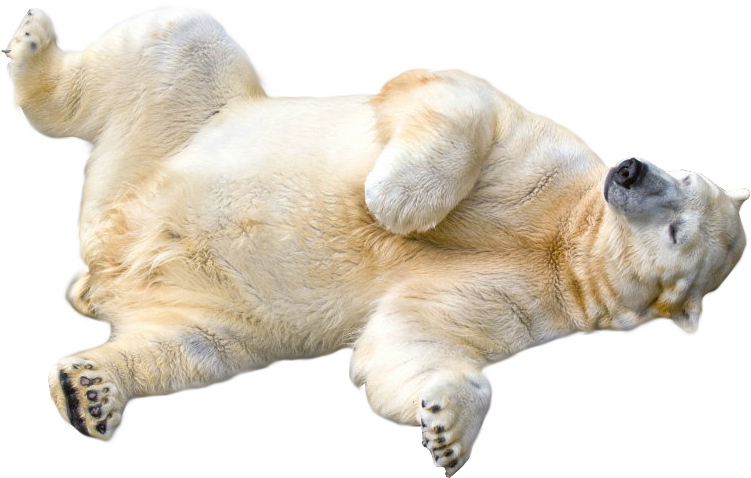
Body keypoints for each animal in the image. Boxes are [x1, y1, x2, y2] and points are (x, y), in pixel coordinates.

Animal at [5, 6, 748, 476]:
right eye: (684, 175)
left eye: (679, 226)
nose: (630, 170)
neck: (565, 240)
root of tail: (96, 263)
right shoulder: (548, 161)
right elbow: (455, 93)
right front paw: (393, 205)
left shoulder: (539, 302)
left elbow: (407, 340)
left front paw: (447, 429)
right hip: (167, 133)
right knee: (181, 33)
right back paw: (36, 43)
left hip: (216, 307)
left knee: (194, 351)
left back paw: (93, 393)